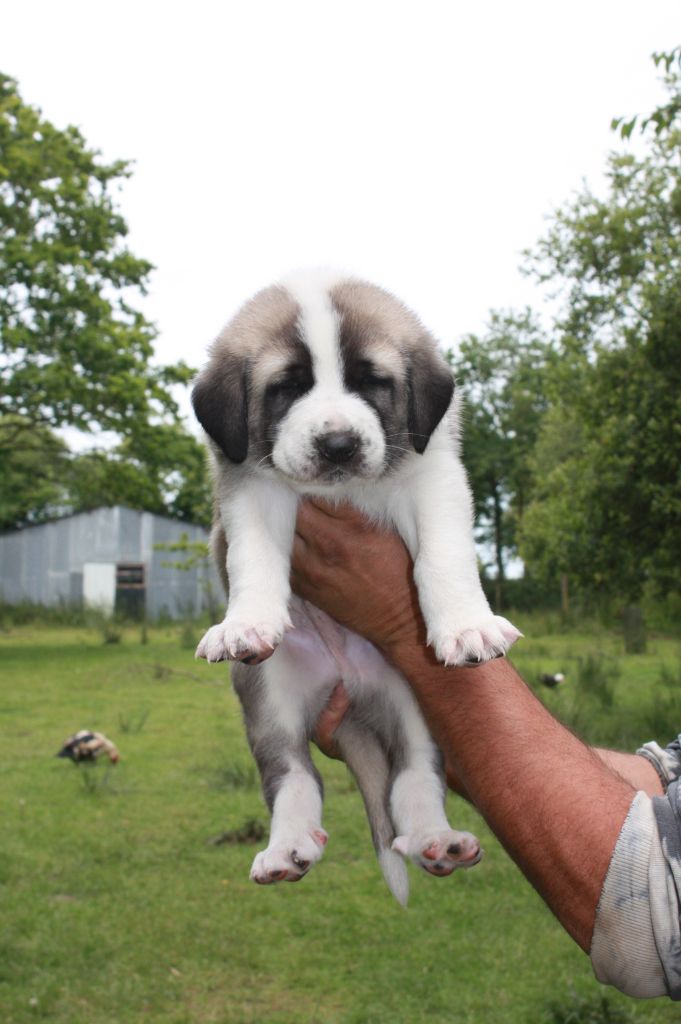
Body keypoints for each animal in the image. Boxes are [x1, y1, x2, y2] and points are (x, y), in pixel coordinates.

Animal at [192, 272, 520, 905]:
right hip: (269, 696)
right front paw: (245, 621)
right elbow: (253, 558)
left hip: (416, 699)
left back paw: (435, 841)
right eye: (286, 388)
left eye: (372, 382)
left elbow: (443, 554)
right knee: (293, 775)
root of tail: (348, 687)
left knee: (414, 775)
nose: (339, 444)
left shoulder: (433, 475)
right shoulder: (251, 488)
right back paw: (287, 848)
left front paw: (467, 625)